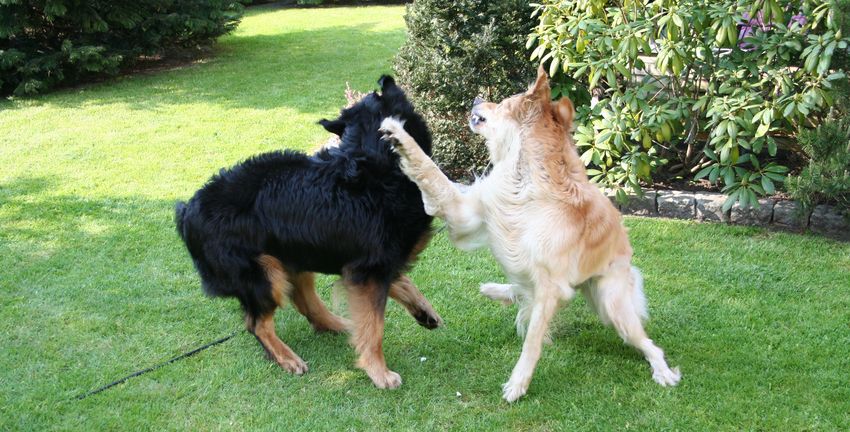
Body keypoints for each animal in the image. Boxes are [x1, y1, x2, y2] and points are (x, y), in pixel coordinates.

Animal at [175, 76, 441, 389]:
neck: (374, 159)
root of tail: (188, 210)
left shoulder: (370, 264)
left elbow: (399, 284)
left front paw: (424, 311)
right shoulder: (368, 269)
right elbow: (373, 324)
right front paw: (379, 371)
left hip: (290, 256)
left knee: (305, 301)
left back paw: (337, 324)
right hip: (263, 274)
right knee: (257, 323)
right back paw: (287, 357)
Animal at [379, 67, 681, 402]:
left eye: (501, 103)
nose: (477, 98)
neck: (528, 179)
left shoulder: (551, 286)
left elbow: (533, 341)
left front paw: (518, 383)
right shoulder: (468, 213)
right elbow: (430, 171)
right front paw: (399, 138)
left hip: (611, 305)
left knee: (648, 344)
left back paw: (663, 372)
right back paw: (496, 290)